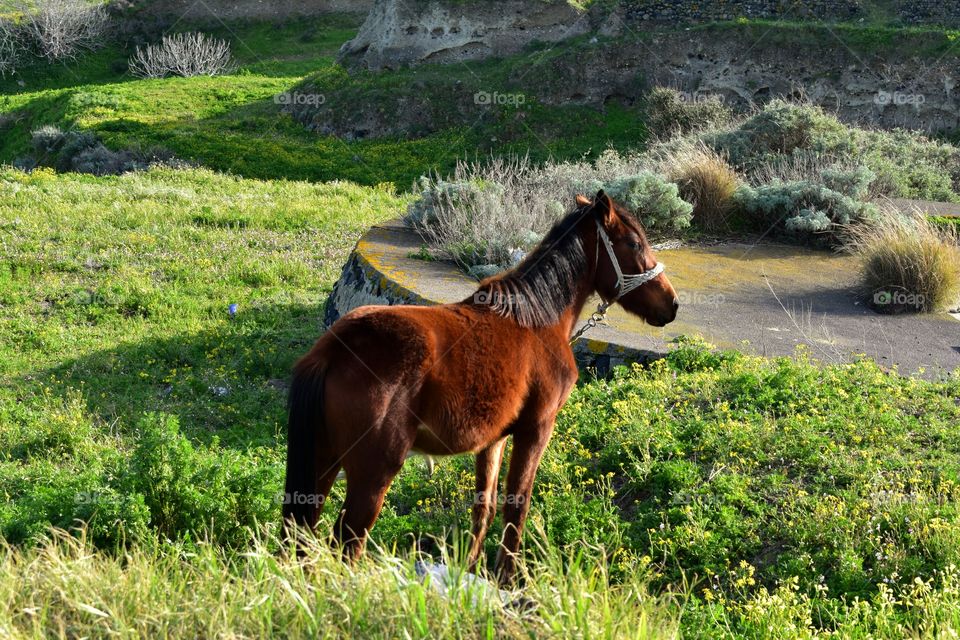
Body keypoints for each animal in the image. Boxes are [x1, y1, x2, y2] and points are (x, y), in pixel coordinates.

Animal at [282, 190, 679, 585]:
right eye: (634, 243)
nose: (672, 304)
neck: (537, 318)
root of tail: (334, 349)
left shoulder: (494, 440)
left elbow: (483, 508)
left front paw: (472, 575)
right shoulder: (536, 428)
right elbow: (517, 507)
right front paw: (508, 580)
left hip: (322, 462)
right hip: (373, 472)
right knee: (347, 542)